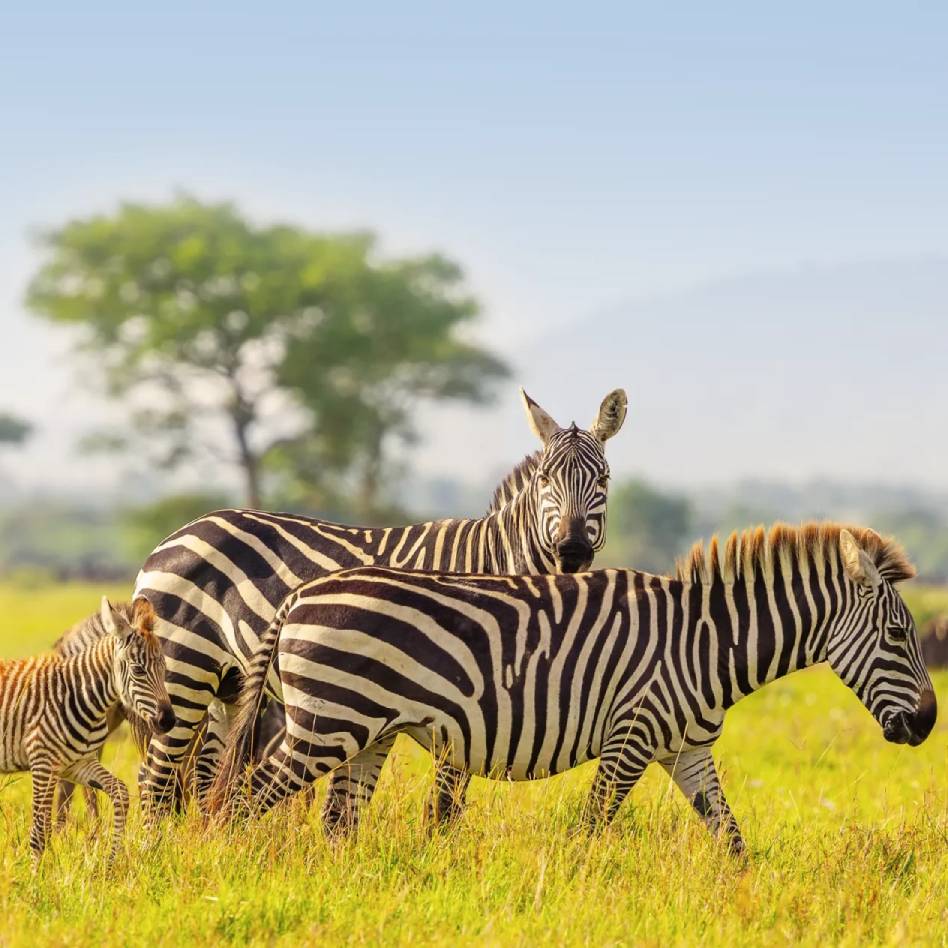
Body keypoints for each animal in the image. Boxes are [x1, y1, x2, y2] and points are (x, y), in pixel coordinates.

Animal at [0, 597, 174, 863]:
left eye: (164, 669)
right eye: (138, 670)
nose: (169, 721)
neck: (77, 694)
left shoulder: (76, 764)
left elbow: (119, 792)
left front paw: (110, 860)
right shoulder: (43, 762)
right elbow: (40, 831)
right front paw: (36, 874)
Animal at [134, 387, 628, 822]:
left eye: (603, 480)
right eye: (545, 479)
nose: (571, 550)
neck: (498, 561)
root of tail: (179, 532)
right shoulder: (466, 700)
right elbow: (445, 805)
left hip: (229, 684)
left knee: (201, 776)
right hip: (185, 668)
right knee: (155, 777)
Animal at [208, 522, 936, 854]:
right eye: (901, 636)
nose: (928, 725)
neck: (706, 642)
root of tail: (302, 592)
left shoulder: (686, 751)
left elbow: (730, 837)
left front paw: (745, 901)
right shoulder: (631, 737)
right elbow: (590, 828)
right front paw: (575, 890)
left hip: (366, 732)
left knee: (336, 823)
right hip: (324, 724)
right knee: (239, 801)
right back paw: (227, 870)